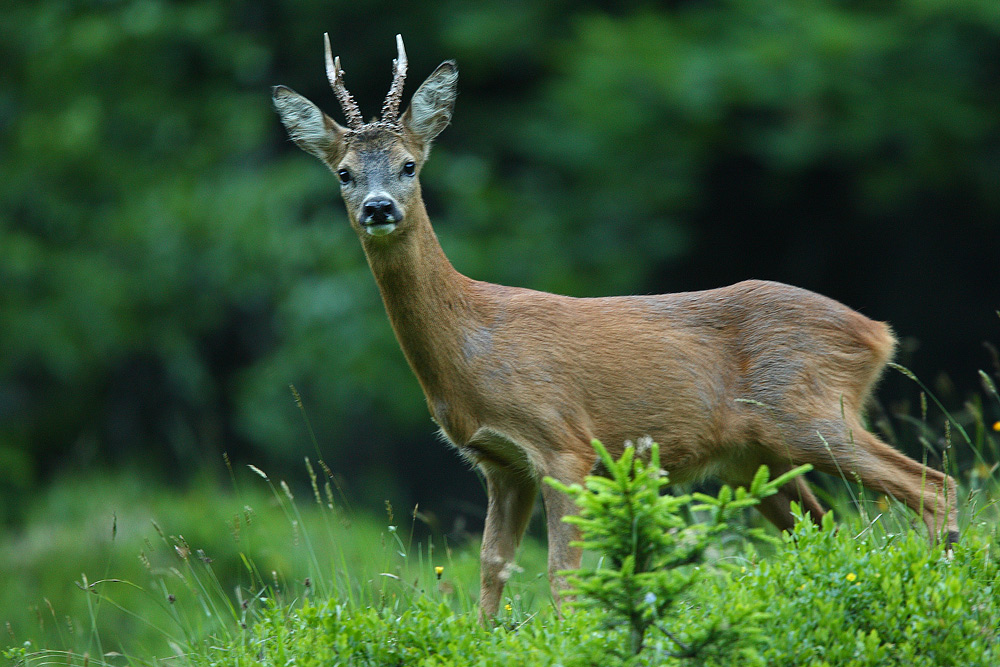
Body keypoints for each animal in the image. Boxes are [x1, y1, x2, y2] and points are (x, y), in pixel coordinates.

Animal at [274, 35, 960, 620]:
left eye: (410, 165)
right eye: (344, 172)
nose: (378, 208)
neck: (469, 345)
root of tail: (878, 333)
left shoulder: (562, 444)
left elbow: (562, 574)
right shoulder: (500, 464)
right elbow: (493, 567)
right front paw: (487, 635)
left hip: (809, 409)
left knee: (932, 484)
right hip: (753, 458)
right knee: (828, 527)